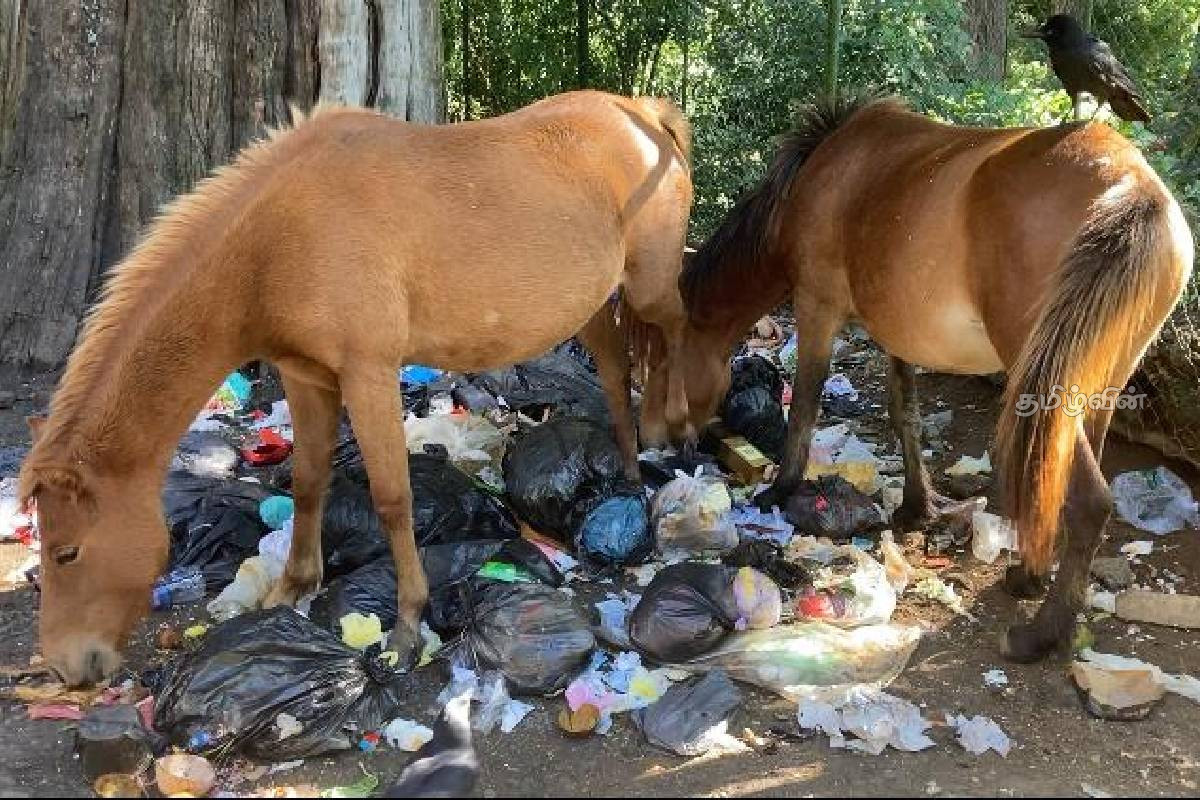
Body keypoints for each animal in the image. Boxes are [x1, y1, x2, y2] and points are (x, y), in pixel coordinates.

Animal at [19, 90, 694, 687]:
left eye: (67, 553)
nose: (66, 669)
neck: (279, 240)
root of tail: (638, 112)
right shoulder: (305, 375)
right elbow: (308, 481)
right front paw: (291, 588)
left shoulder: (368, 373)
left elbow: (392, 498)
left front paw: (407, 623)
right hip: (593, 302)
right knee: (618, 374)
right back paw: (630, 469)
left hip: (648, 286)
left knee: (679, 333)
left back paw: (682, 432)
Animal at [680, 95, 1193, 662]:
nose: (676, 442)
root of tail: (1132, 185)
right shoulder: (895, 336)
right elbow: (905, 413)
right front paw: (916, 506)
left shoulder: (816, 307)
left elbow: (806, 408)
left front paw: (781, 489)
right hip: (1096, 386)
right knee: (1051, 473)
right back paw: (1029, 578)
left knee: (1087, 499)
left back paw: (1040, 630)